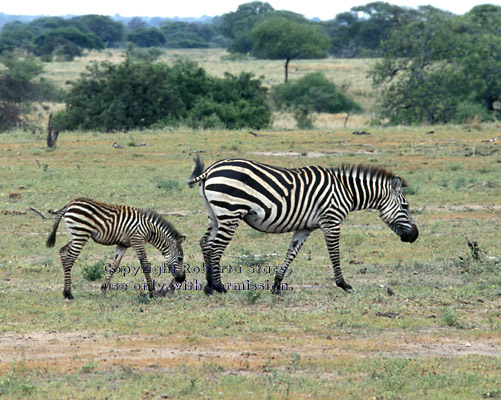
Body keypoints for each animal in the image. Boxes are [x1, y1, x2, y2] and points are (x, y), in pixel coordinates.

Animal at [45, 198, 184, 298]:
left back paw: (65, 292)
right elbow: (145, 265)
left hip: (75, 234)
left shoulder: (123, 244)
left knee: (63, 252)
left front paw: (103, 290)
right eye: (180, 258)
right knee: (70, 257)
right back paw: (69, 293)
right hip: (81, 233)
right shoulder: (137, 240)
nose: (182, 279)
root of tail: (70, 204)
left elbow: (114, 265)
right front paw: (152, 293)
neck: (150, 230)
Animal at [188, 158, 418, 296]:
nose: (415, 236)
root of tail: (211, 169)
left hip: (215, 215)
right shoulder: (331, 221)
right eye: (405, 206)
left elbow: (291, 253)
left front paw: (277, 285)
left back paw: (208, 286)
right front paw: (343, 284)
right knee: (216, 248)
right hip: (230, 213)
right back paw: (219, 286)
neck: (346, 191)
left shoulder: (305, 227)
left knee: (205, 243)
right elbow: (334, 254)